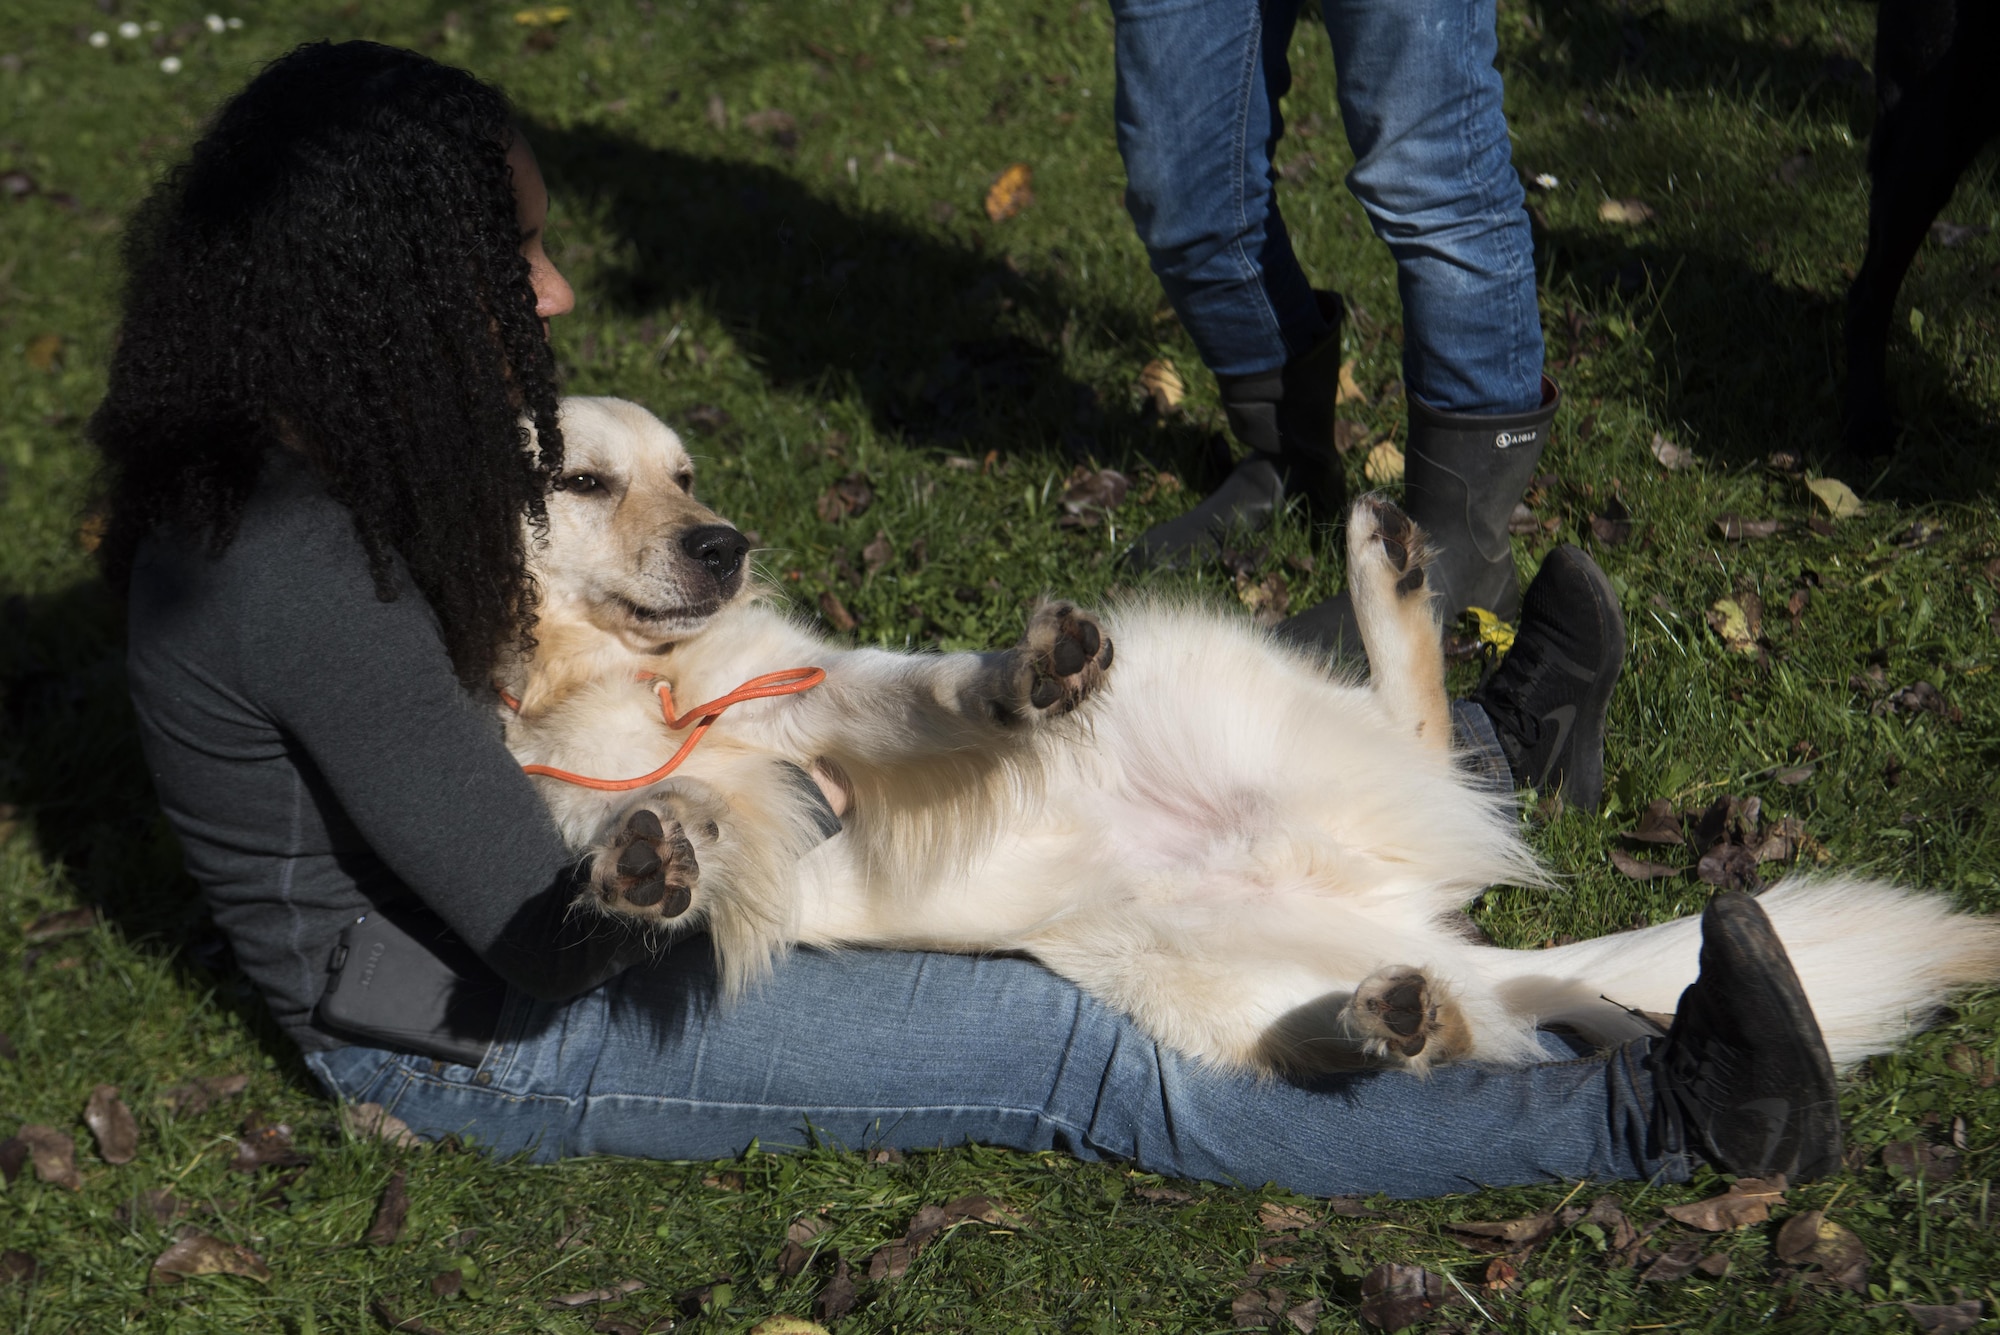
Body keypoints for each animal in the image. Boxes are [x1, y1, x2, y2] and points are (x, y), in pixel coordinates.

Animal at [508, 395, 2000, 1071]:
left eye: (685, 475)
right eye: (582, 479)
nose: (724, 545)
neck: (618, 674)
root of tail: (1400, 927)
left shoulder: (813, 693)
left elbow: (922, 696)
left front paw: (1023, 678)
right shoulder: (610, 788)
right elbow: (643, 824)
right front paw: (645, 857)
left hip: (1205, 697)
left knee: (1428, 735)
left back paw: (1386, 555)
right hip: (1204, 993)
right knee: (1422, 1026)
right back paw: (1396, 1014)